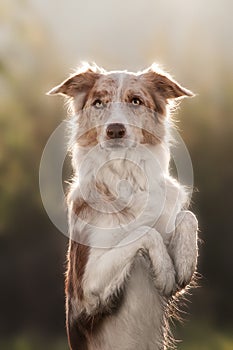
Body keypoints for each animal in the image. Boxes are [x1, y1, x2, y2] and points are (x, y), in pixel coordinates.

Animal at [47, 63, 198, 350]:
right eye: (99, 102)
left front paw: (184, 265)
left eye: (135, 101)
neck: (125, 176)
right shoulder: (87, 292)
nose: (115, 130)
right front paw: (164, 272)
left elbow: (187, 216)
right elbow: (143, 232)